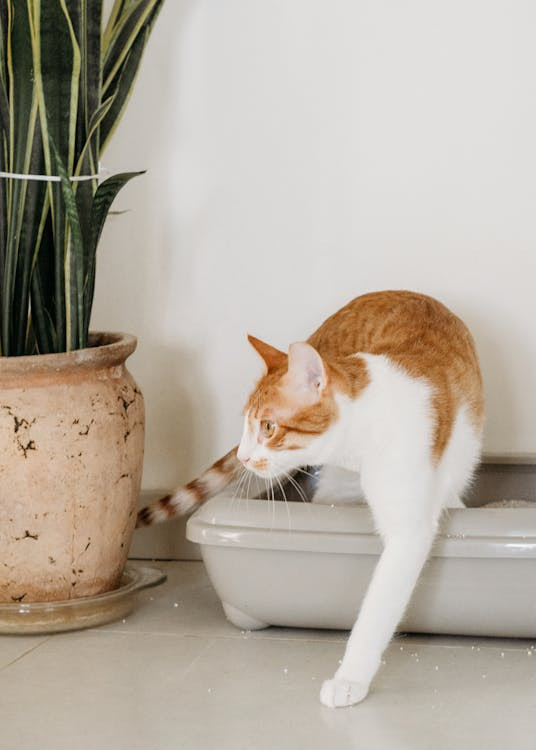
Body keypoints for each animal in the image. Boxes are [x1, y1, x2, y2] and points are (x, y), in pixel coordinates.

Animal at [136, 290, 484, 708]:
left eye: (268, 427)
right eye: (246, 425)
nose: (244, 456)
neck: (365, 431)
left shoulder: (410, 530)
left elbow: (377, 607)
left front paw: (350, 677)